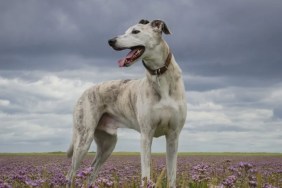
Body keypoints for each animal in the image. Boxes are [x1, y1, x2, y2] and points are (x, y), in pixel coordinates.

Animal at [66, 18, 187, 187]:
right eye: (126, 31)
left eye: (136, 31)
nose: (110, 41)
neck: (159, 75)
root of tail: (84, 93)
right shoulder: (146, 135)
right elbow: (145, 173)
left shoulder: (173, 137)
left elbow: (172, 176)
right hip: (83, 139)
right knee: (70, 174)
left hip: (107, 144)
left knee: (92, 171)